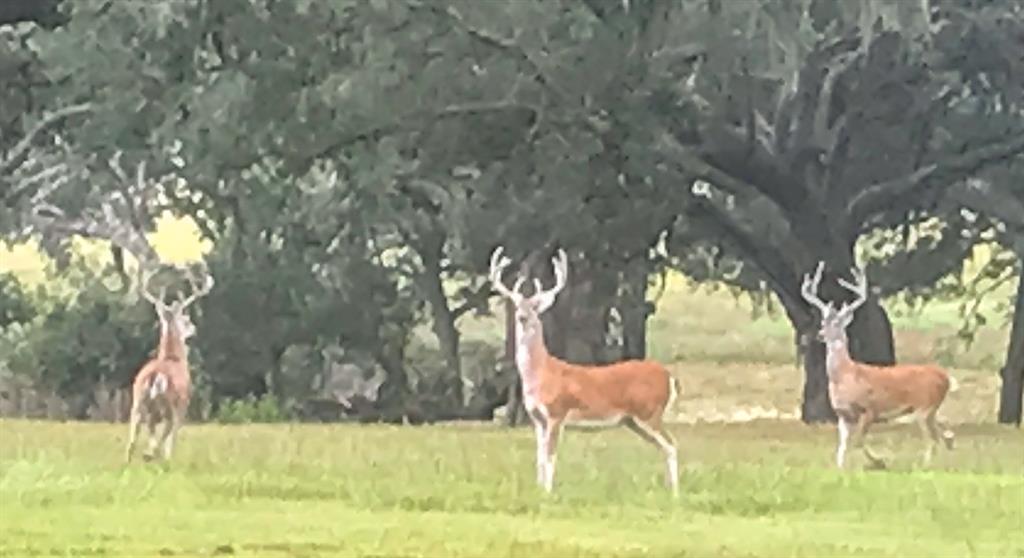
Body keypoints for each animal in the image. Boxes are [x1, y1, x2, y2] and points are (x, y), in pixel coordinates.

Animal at [123, 264, 211, 462]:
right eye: (186, 320)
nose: (194, 328)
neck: (172, 357)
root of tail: (155, 376)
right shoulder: (183, 406)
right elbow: (171, 442)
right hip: (169, 406)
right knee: (159, 443)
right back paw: (152, 457)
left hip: (137, 403)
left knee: (131, 442)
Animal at [487, 245, 679, 493]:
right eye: (517, 303)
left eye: (536, 306)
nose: (522, 317)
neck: (542, 372)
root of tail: (669, 377)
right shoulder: (537, 418)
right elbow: (539, 458)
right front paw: (538, 491)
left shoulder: (557, 412)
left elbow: (550, 458)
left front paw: (548, 493)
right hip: (633, 420)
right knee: (664, 447)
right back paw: (666, 490)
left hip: (650, 411)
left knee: (672, 445)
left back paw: (675, 494)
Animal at [802, 262, 954, 470]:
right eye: (824, 322)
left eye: (839, 323)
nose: (820, 335)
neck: (845, 375)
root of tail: (945, 377)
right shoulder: (843, 414)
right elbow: (842, 446)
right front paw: (840, 468)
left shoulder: (870, 409)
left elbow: (858, 441)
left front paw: (879, 461)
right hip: (930, 410)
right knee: (943, 435)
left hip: (924, 406)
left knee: (932, 439)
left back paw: (925, 466)